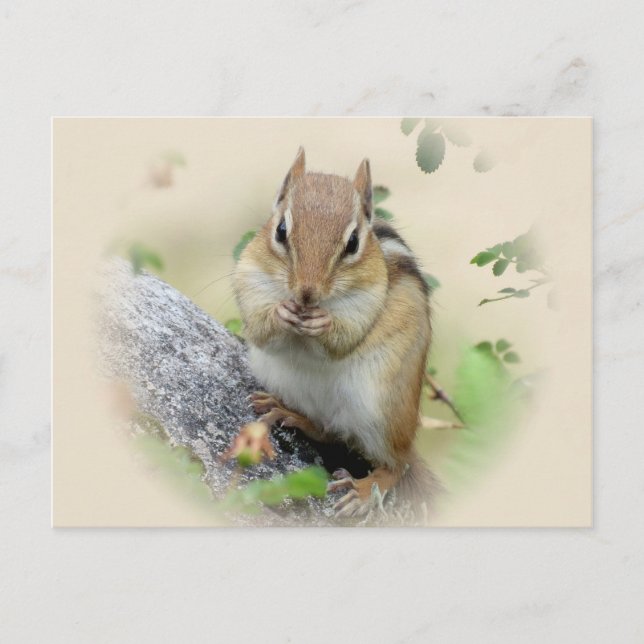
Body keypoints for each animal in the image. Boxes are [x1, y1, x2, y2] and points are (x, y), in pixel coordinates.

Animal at [230, 147, 439, 518]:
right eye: (281, 230)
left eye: (352, 243)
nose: (306, 293)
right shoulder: (250, 278)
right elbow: (258, 325)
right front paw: (280, 313)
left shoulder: (368, 301)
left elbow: (346, 337)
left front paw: (324, 323)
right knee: (328, 432)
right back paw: (287, 412)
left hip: (380, 408)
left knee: (397, 466)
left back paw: (364, 490)